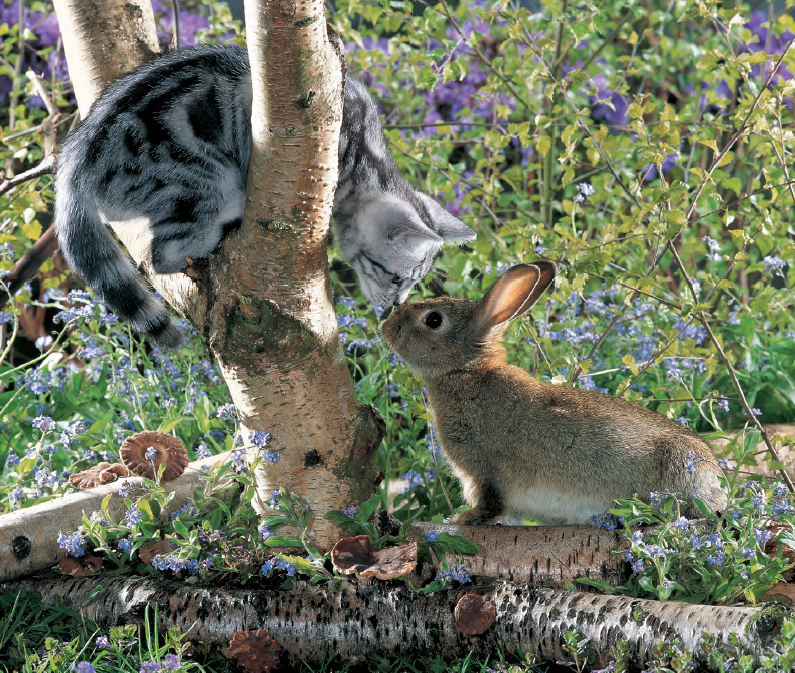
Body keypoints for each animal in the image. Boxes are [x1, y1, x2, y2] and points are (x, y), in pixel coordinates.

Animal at [57, 43, 478, 346]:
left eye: (411, 284)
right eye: (396, 279)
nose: (394, 306)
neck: (362, 153)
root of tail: (74, 162)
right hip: (199, 177)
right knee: (165, 254)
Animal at [384, 262, 728, 524]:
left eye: (433, 319)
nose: (387, 327)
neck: (464, 372)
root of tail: (716, 486)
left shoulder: (486, 472)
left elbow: (491, 504)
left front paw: (463, 519)